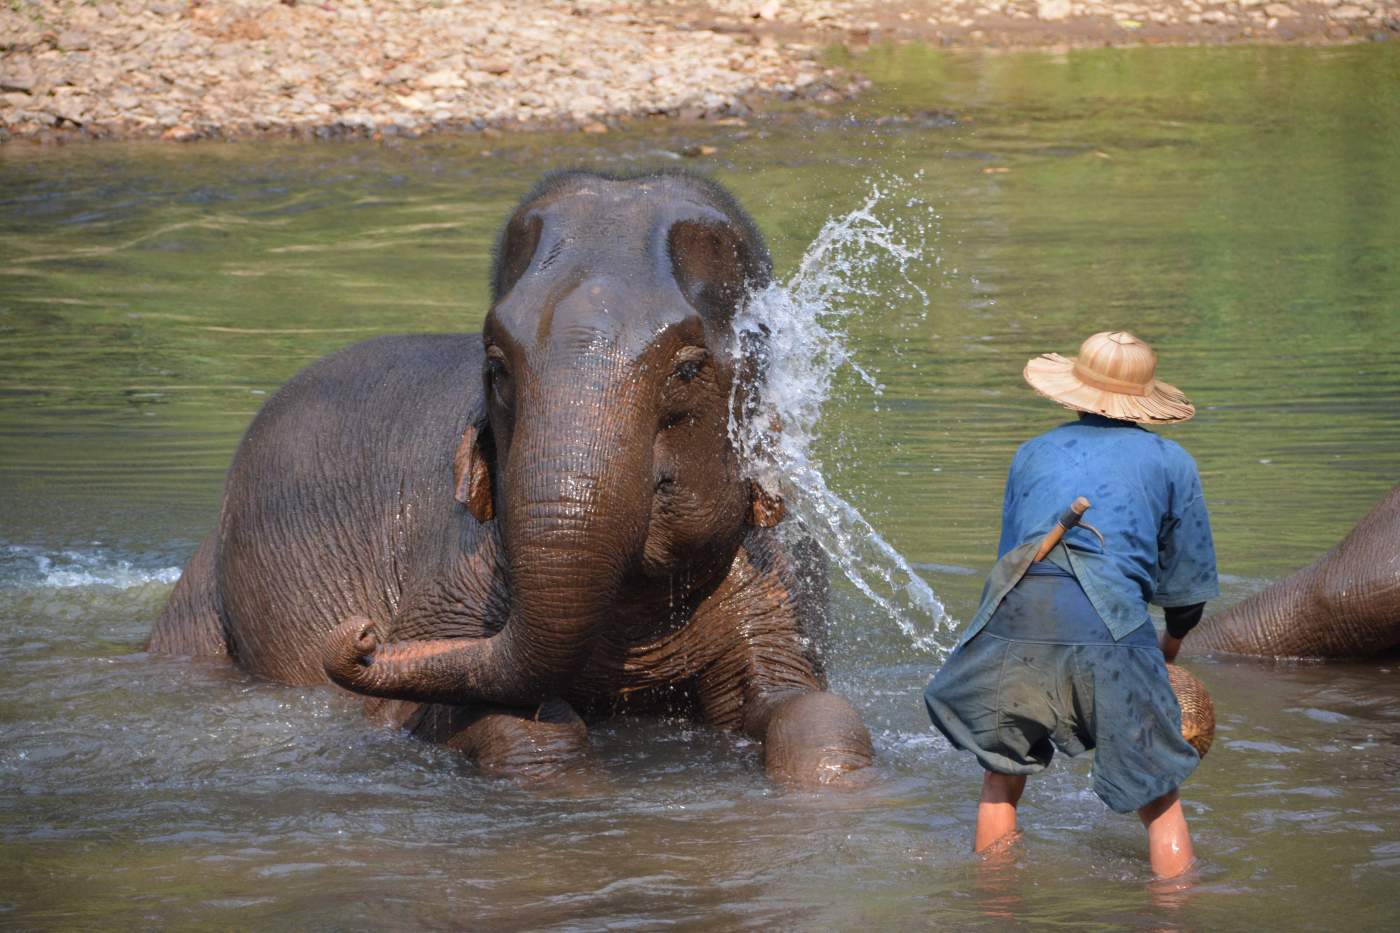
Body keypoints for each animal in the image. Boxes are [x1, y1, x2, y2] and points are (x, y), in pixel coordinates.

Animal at [153, 168, 873, 784]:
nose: (363, 634)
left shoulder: (780, 579)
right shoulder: (457, 567)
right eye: (497, 367)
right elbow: (463, 713)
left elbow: (805, 702)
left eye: (689, 368)